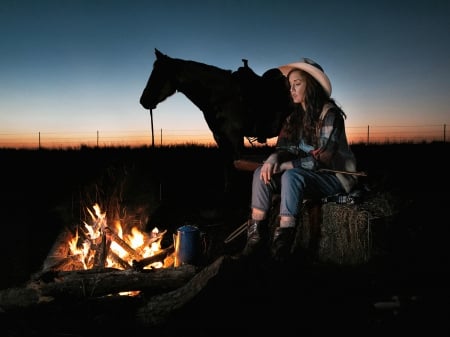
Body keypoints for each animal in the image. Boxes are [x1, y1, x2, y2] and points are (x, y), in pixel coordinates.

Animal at [139, 48, 292, 193]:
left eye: (159, 74)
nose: (143, 101)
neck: (223, 97)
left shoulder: (235, 137)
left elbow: (236, 165)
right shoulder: (219, 137)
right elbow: (227, 166)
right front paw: (228, 189)